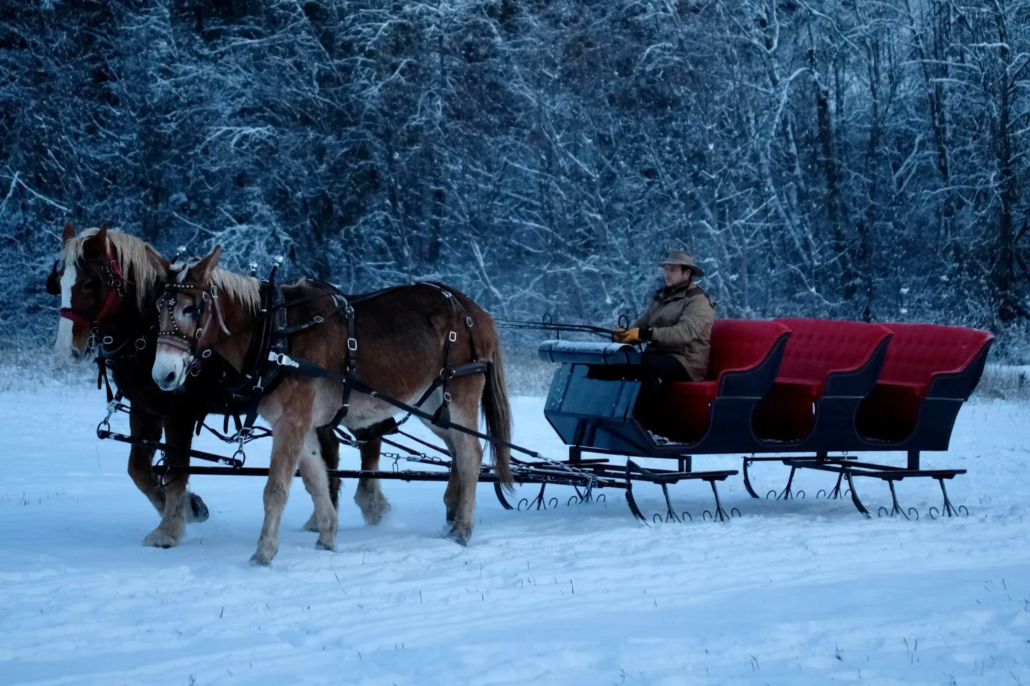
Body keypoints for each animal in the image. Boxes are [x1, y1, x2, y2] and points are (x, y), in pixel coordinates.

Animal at [47, 224, 342, 546]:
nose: (66, 351)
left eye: (90, 284)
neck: (147, 332)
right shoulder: (144, 410)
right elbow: (139, 470)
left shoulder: (180, 414)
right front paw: (190, 508)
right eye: (59, 281)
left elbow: (175, 469)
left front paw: (169, 529)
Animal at [146, 244, 513, 565]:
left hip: (460, 393)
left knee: (470, 453)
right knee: (457, 451)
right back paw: (453, 514)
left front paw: (263, 554)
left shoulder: (291, 422)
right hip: (433, 406)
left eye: (191, 308)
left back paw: (462, 530)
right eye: (158, 308)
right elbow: (315, 479)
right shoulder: (302, 426)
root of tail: (475, 312)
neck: (274, 333)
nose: (163, 374)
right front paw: (326, 537)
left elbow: (275, 489)